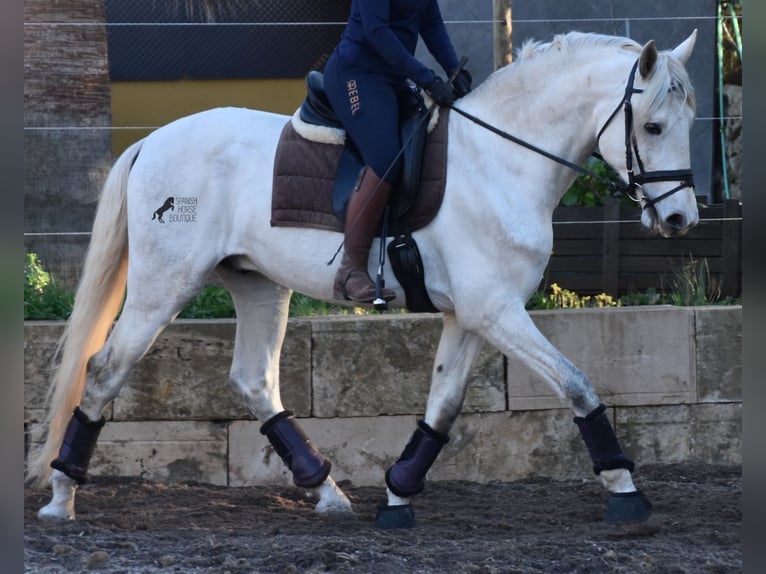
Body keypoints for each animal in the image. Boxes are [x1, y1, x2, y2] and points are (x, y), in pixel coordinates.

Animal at [31, 29, 704, 528]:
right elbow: (577, 385)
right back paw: (62, 499)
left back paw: (327, 491)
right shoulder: (496, 311)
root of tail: (151, 142)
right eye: (651, 127)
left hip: (259, 285)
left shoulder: (473, 314)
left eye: (687, 122)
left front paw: (400, 493)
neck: (501, 161)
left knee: (254, 381)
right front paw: (625, 489)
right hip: (163, 287)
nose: (680, 220)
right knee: (104, 370)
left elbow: (443, 405)